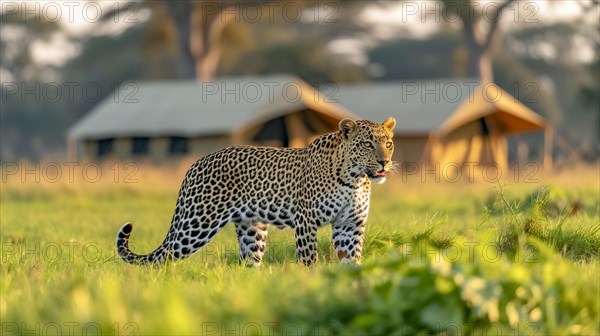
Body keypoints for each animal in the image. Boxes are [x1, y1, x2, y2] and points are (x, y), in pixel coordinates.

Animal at [116, 117, 398, 266]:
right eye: (367, 144)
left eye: (388, 144)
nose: (384, 162)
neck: (354, 178)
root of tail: (196, 163)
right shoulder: (306, 222)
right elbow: (308, 259)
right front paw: (311, 282)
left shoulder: (350, 224)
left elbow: (352, 261)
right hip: (196, 225)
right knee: (162, 259)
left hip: (251, 229)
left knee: (248, 264)